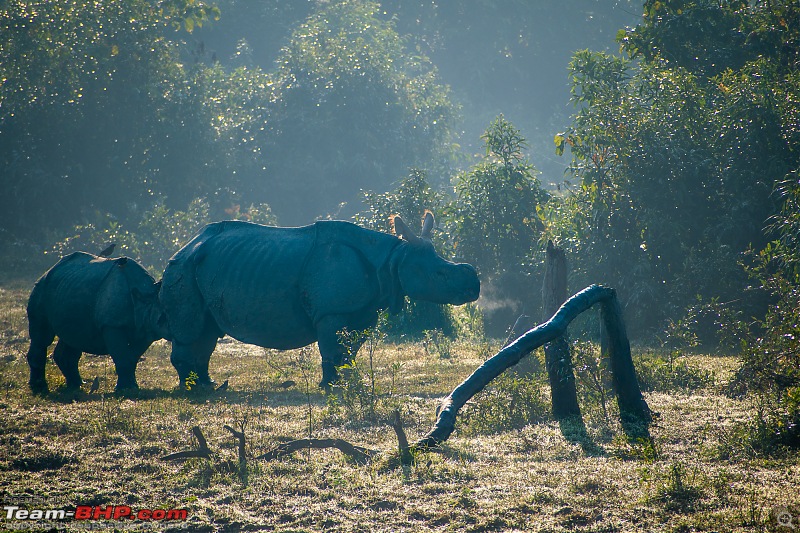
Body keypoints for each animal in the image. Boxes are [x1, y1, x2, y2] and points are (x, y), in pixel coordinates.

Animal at [26, 249, 170, 390]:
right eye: (163, 318)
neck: (145, 298)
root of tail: (50, 269)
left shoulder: (146, 329)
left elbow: (131, 357)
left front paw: (131, 387)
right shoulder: (112, 325)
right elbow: (122, 355)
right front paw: (125, 389)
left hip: (68, 289)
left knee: (73, 337)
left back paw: (77, 385)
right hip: (41, 288)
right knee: (42, 336)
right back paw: (39, 386)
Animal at [159, 211, 478, 386]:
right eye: (439, 274)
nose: (474, 285)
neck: (393, 259)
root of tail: (185, 245)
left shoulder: (363, 311)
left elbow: (349, 351)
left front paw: (347, 382)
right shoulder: (331, 311)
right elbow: (333, 349)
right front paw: (331, 387)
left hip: (209, 265)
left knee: (207, 330)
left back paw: (207, 385)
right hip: (183, 267)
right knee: (192, 329)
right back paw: (195, 389)